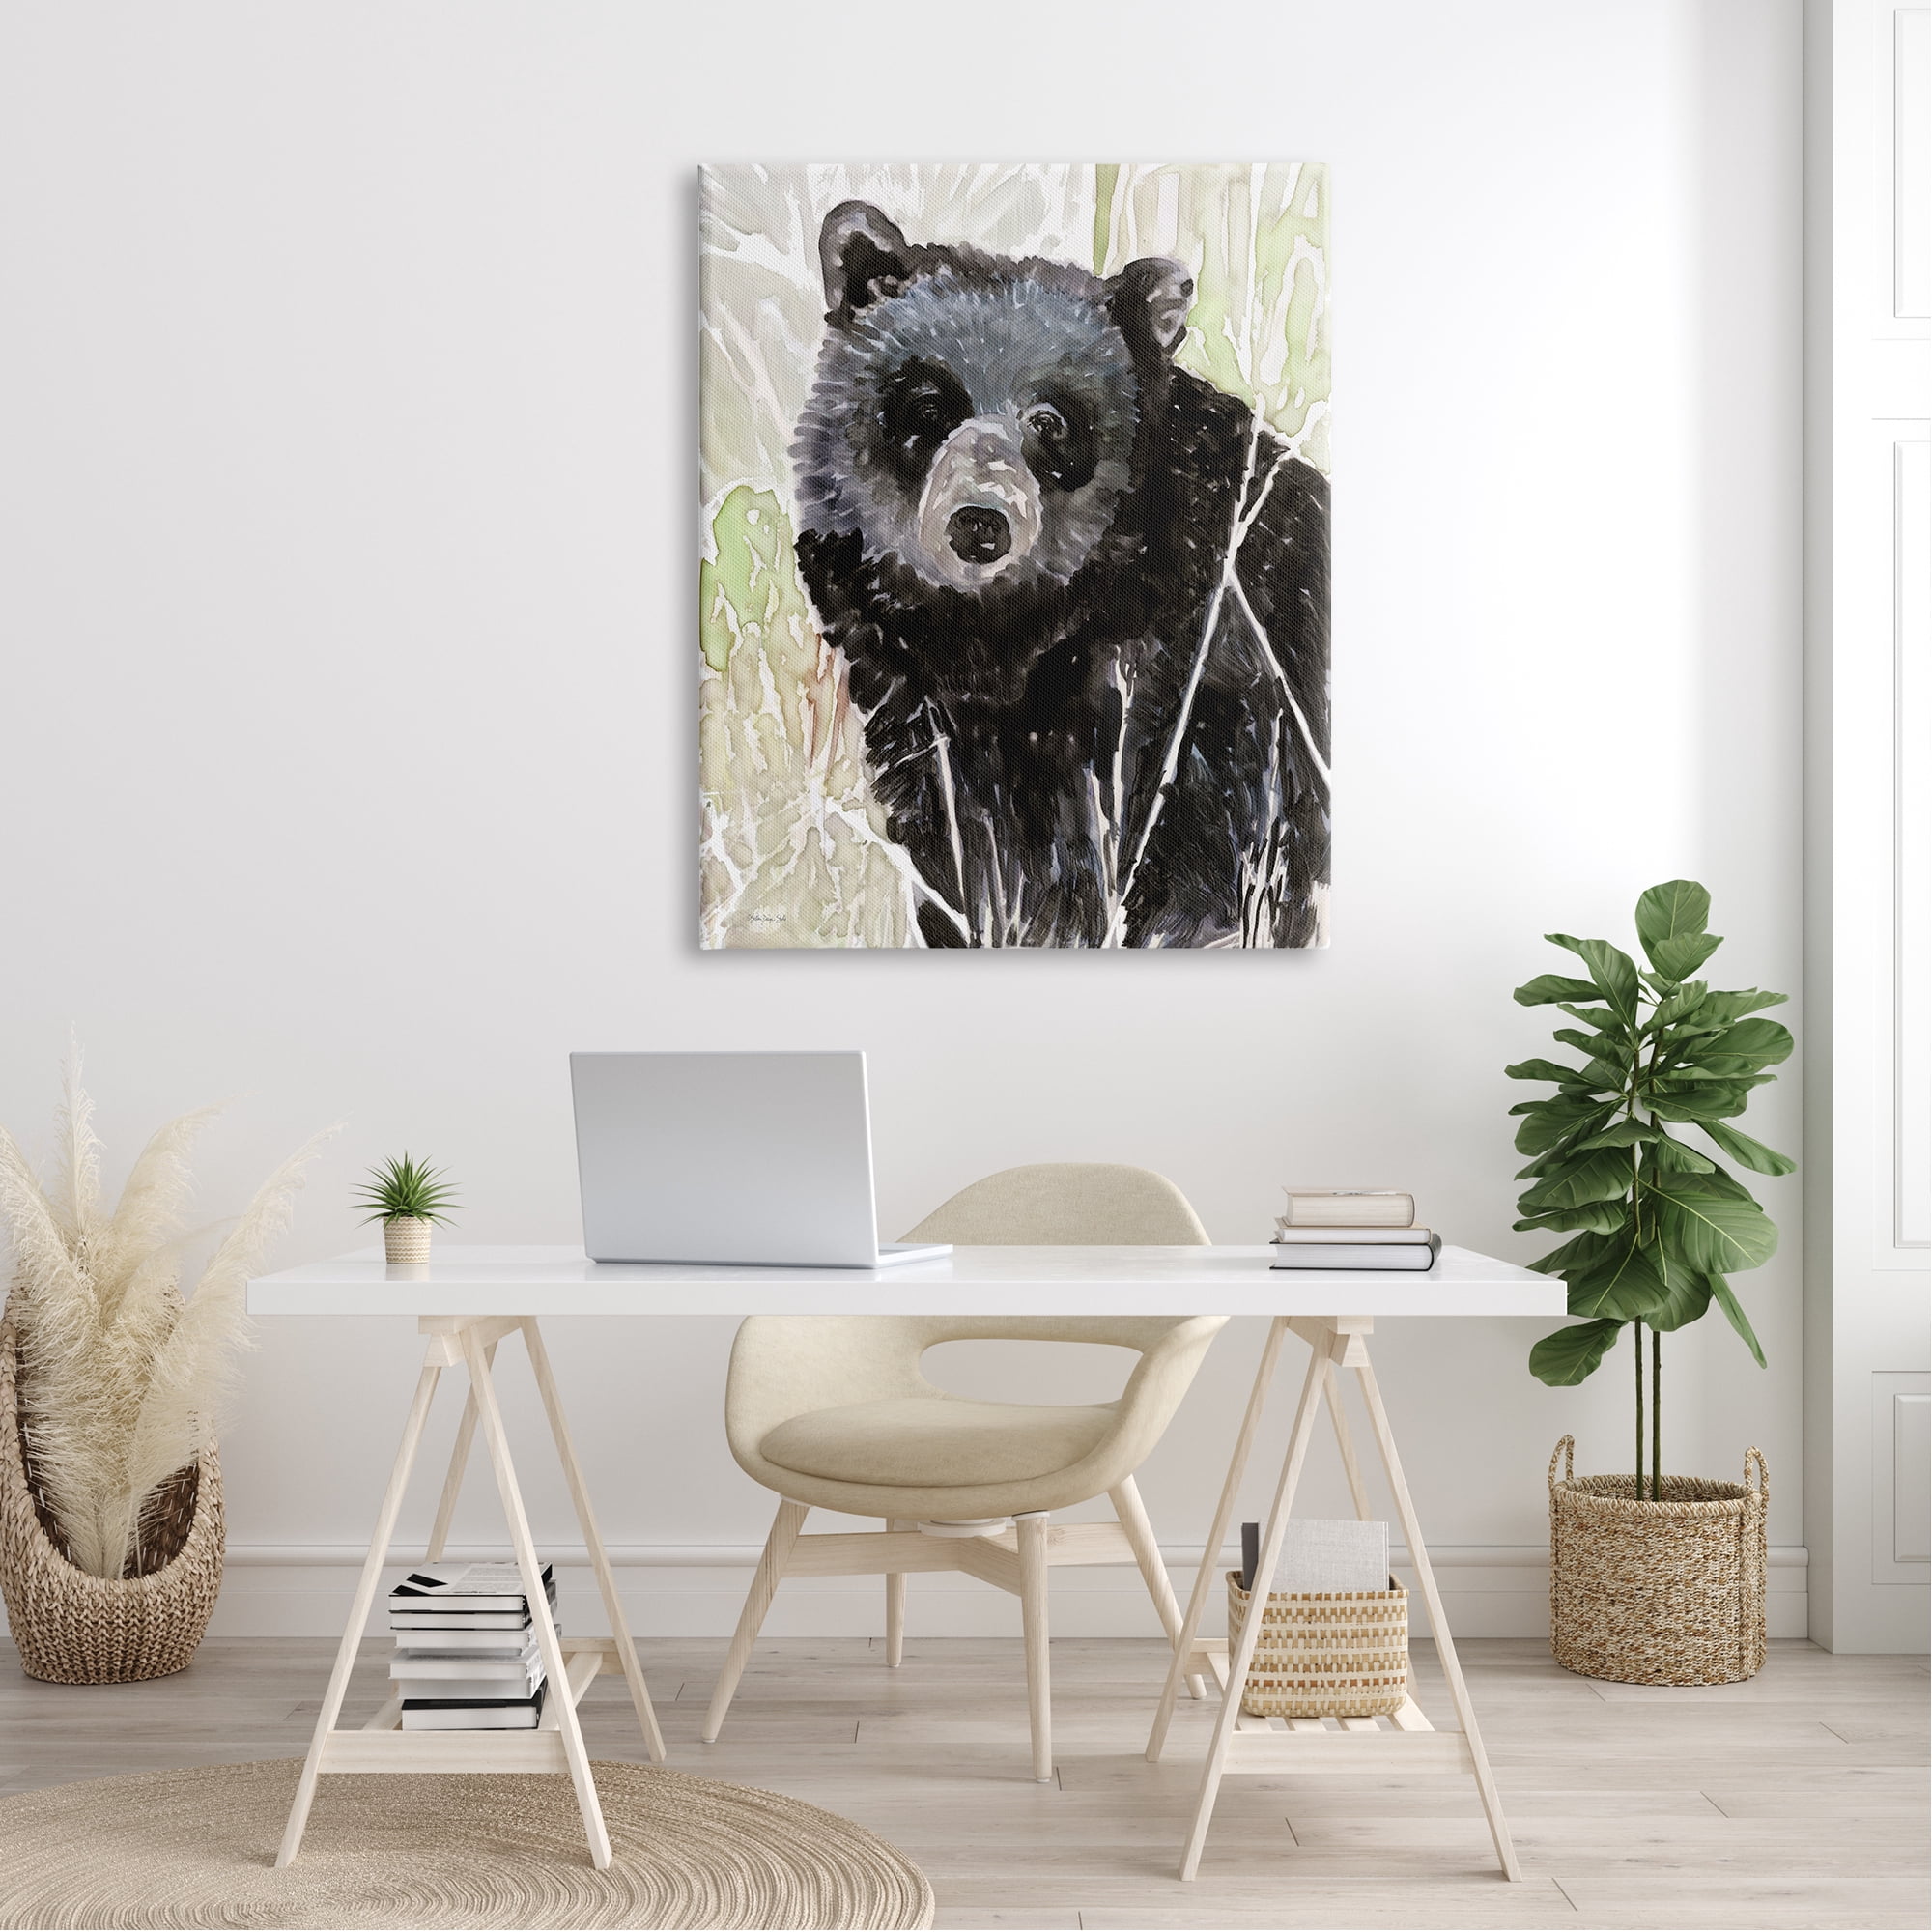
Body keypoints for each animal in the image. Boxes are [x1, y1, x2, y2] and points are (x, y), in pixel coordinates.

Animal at [791, 200, 1329, 948]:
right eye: (928, 405)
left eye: (1049, 420)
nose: (979, 523)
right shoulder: (919, 721)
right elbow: (957, 859)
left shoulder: (1205, 697)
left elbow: (1191, 875)